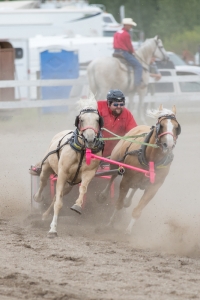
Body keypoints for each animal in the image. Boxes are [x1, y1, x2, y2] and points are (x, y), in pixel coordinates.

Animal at [97, 105, 181, 234]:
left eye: (177, 127)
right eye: (161, 126)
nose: (169, 145)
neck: (151, 160)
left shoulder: (154, 187)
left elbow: (138, 210)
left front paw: (128, 230)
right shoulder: (125, 181)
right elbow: (119, 204)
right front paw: (110, 223)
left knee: (135, 187)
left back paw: (128, 200)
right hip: (116, 160)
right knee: (112, 176)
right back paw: (103, 195)